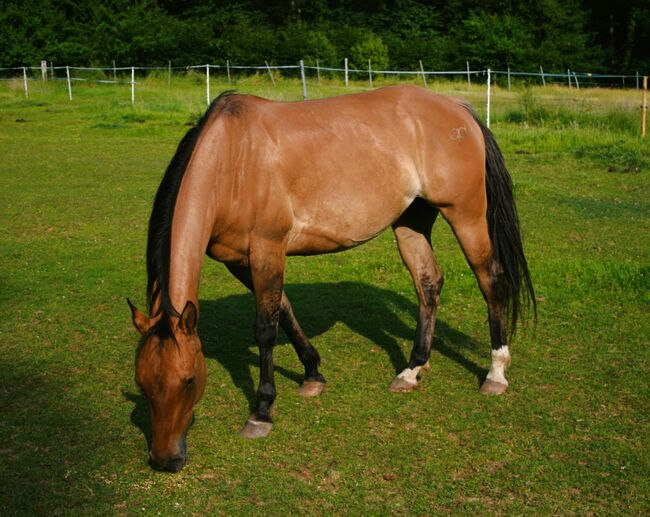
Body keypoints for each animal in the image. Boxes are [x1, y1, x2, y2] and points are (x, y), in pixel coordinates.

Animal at [125, 85, 532, 472]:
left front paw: (262, 411)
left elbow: (266, 329)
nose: (165, 459)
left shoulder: (267, 248)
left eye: (188, 380)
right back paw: (412, 369)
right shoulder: (241, 261)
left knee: (490, 280)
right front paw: (312, 373)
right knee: (428, 283)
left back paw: (495, 374)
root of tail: (457, 108)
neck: (233, 160)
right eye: (141, 382)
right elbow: (284, 310)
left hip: (465, 214)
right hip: (412, 220)